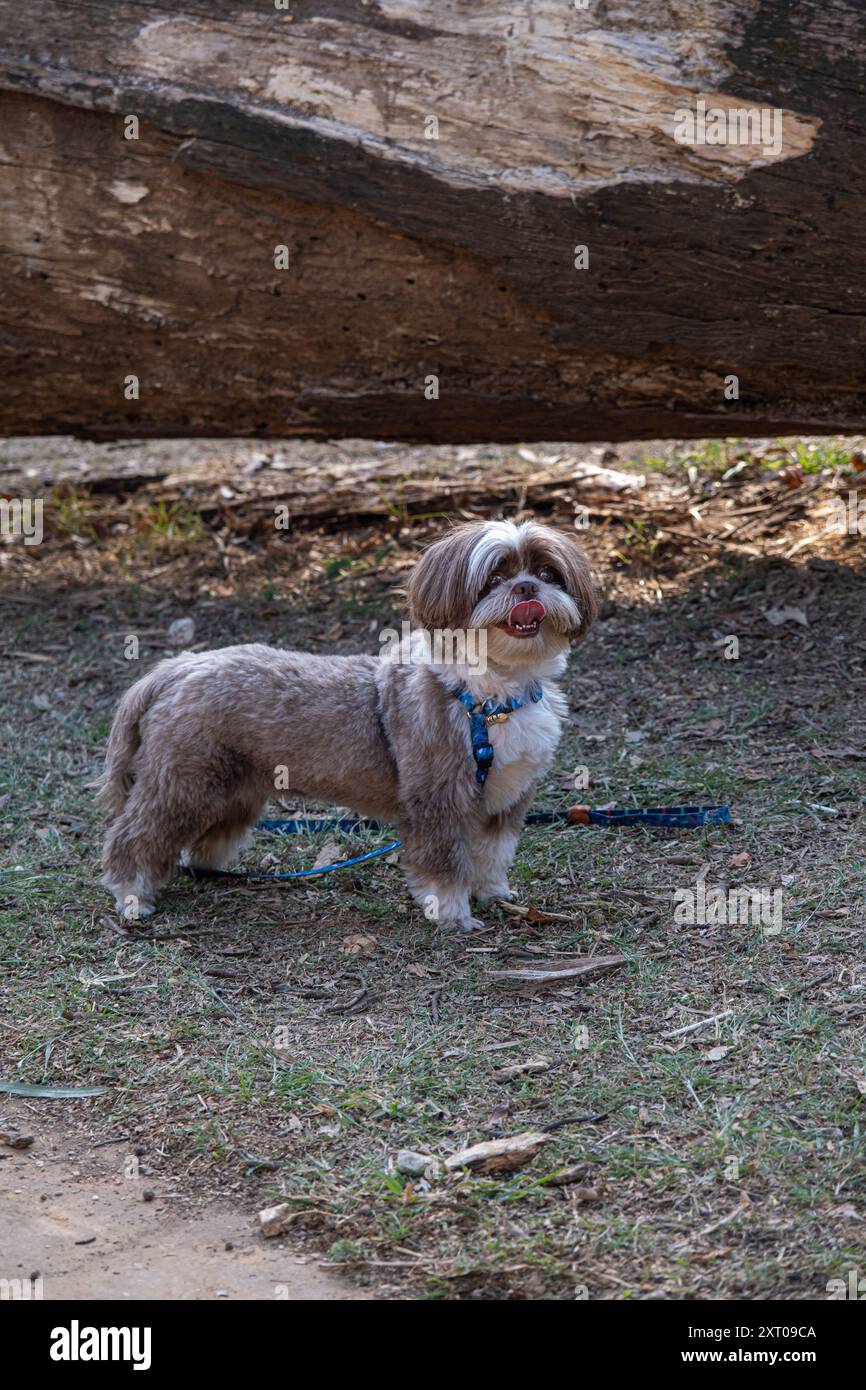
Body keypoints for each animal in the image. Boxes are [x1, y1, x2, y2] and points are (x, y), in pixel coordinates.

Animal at [96, 522, 594, 934]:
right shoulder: (439, 799)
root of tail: (177, 668)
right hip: (184, 783)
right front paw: (453, 913)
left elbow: (491, 854)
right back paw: (132, 894)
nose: (526, 586)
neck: (491, 699)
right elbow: (445, 865)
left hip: (230, 790)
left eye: (548, 573)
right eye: (493, 577)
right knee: (134, 835)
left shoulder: (504, 800)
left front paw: (492, 893)